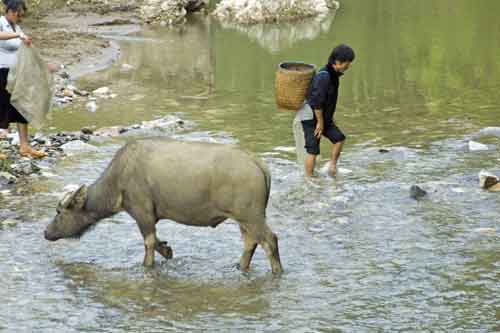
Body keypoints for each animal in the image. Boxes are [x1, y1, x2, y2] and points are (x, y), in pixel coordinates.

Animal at [45, 137, 284, 272]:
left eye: (59, 211)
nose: (46, 232)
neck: (118, 181)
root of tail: (259, 164)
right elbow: (158, 242)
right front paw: (167, 250)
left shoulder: (142, 212)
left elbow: (149, 243)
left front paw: (148, 265)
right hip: (245, 219)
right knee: (251, 243)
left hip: (250, 216)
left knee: (269, 240)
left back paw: (277, 271)